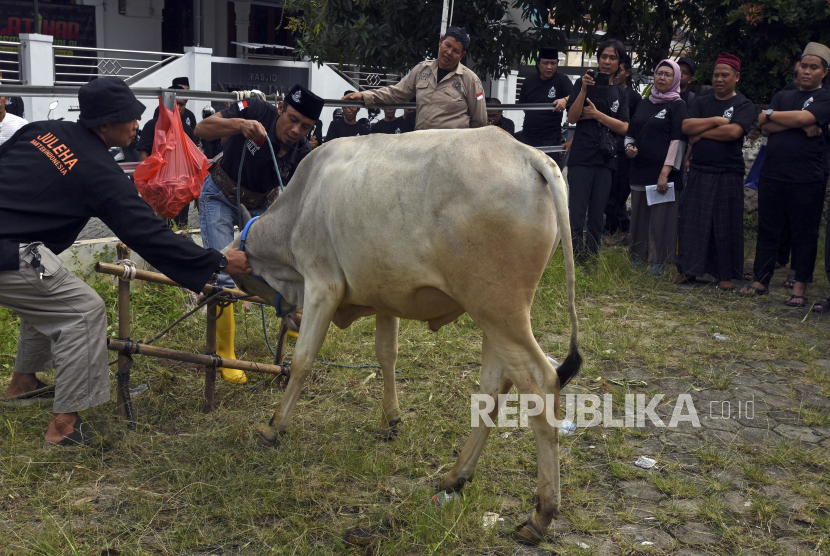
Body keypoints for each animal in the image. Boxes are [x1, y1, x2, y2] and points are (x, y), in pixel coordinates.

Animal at [231, 127, 580, 544]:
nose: (291, 319)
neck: (301, 203)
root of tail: (526, 154)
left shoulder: (322, 285)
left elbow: (303, 361)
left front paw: (274, 427)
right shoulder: (385, 298)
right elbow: (386, 354)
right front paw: (391, 420)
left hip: (500, 313)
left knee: (542, 384)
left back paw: (541, 515)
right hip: (494, 320)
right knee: (494, 387)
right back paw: (455, 476)